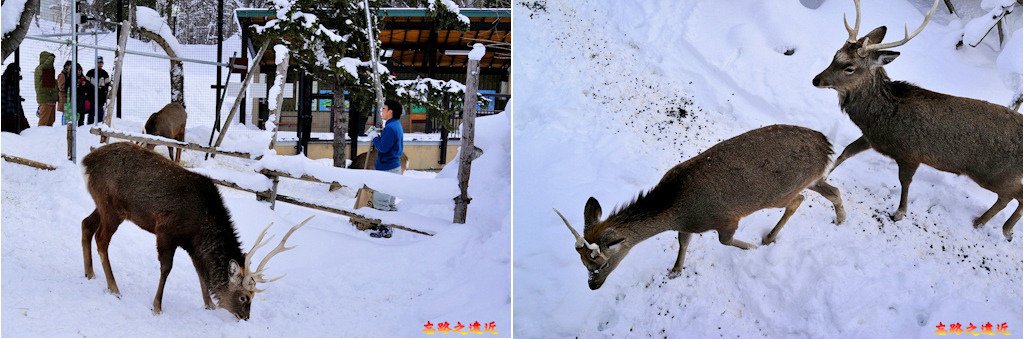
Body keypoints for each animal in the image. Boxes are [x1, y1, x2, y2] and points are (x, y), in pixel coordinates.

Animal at [82, 142, 311, 319]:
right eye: (244, 297)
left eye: (253, 297)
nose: (245, 317)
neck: (201, 226)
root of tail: (86, 162)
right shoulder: (166, 231)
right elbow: (166, 269)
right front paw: (157, 306)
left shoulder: (192, 245)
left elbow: (200, 271)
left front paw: (210, 304)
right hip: (112, 207)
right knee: (101, 239)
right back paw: (114, 287)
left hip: (101, 205)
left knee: (86, 224)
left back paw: (89, 273)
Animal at [557, 125, 843, 290]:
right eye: (582, 263)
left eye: (601, 264)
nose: (593, 286)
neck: (677, 210)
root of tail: (826, 145)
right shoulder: (687, 226)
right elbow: (683, 242)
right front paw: (675, 271)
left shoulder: (727, 219)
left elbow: (725, 241)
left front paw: (751, 248)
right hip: (811, 180)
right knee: (832, 190)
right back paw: (840, 219)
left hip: (780, 193)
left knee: (798, 200)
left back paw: (770, 237)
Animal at [815, 0, 1024, 240]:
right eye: (836, 54)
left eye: (849, 67)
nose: (816, 80)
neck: (882, 116)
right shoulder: (872, 138)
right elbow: (846, 152)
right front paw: (825, 176)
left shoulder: (911, 153)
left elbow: (905, 182)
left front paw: (900, 212)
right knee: (1010, 197)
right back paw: (986, 222)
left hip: (996, 173)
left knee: (1015, 196)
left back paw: (997, 226)